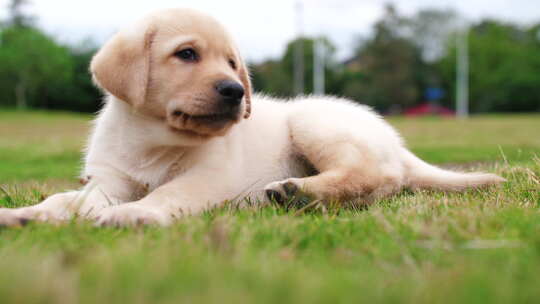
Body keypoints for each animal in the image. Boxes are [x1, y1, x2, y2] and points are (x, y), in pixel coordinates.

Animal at [1, 8, 506, 227]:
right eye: (187, 54)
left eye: (231, 63)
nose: (236, 91)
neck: (155, 140)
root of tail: (398, 145)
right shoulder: (109, 181)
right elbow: (66, 200)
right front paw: (28, 213)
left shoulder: (208, 176)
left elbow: (168, 193)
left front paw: (135, 214)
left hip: (315, 122)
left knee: (378, 178)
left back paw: (298, 192)